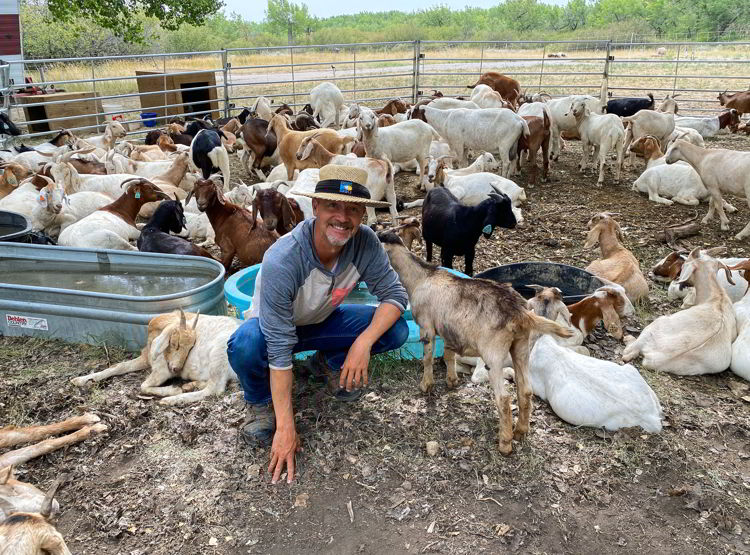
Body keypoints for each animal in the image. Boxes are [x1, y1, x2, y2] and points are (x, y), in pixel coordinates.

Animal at [70, 310, 241, 406]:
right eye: (175, 343)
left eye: (190, 347)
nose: (176, 368)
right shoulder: (146, 357)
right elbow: (119, 366)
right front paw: (80, 380)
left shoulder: (162, 369)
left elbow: (143, 386)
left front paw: (173, 390)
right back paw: (191, 385)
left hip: (218, 355)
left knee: (215, 389)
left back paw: (172, 400)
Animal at [378, 230, 572, 456]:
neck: (421, 277)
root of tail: (520, 313)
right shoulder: (450, 330)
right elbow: (448, 354)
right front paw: (452, 381)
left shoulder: (427, 327)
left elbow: (428, 358)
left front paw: (426, 386)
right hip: (521, 348)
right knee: (525, 390)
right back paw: (520, 432)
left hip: (494, 355)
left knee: (504, 399)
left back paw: (505, 443)